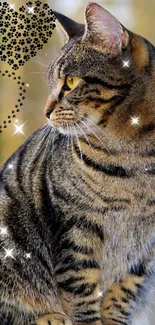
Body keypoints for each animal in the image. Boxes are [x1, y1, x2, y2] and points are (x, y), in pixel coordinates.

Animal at [0, 3, 155, 324]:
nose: (46, 111)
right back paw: (49, 317)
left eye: (70, 82)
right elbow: (81, 293)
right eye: (50, 84)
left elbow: (123, 293)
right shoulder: (75, 227)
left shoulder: (145, 247)